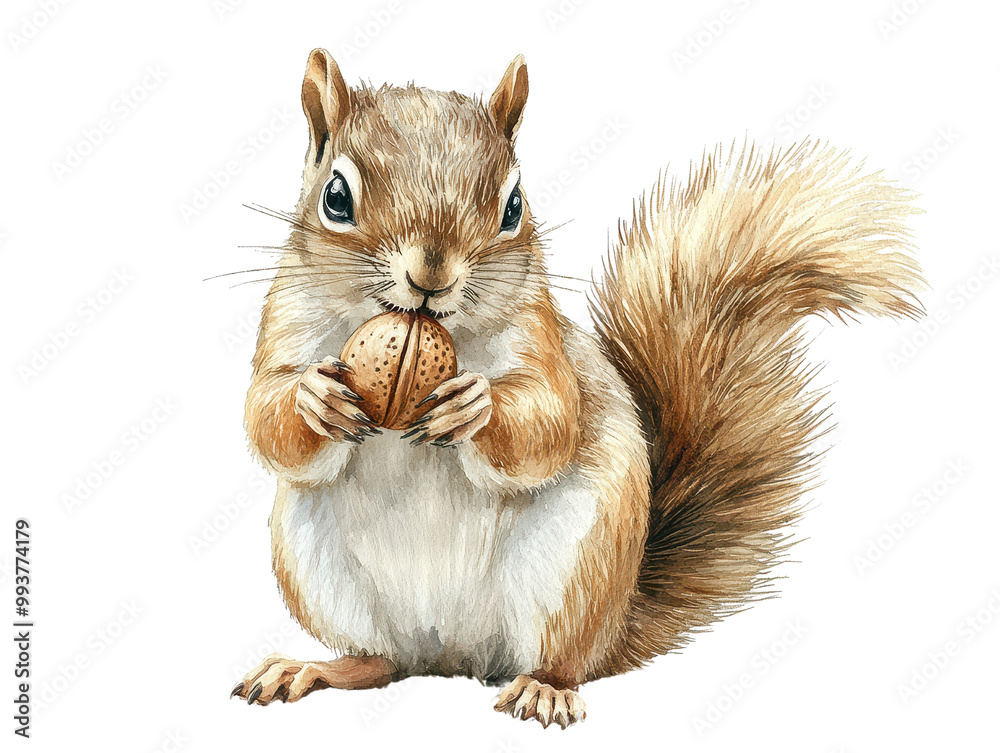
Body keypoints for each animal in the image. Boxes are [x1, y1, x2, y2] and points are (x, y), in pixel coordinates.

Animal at [231, 49, 924, 728]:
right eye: (336, 197)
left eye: (514, 206)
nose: (431, 276)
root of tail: (453, 654)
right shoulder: (286, 317)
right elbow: (265, 417)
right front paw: (312, 399)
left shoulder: (542, 337)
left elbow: (549, 422)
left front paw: (476, 406)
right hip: (317, 566)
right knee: (383, 661)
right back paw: (314, 668)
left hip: (574, 568)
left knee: (560, 659)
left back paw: (544, 689)